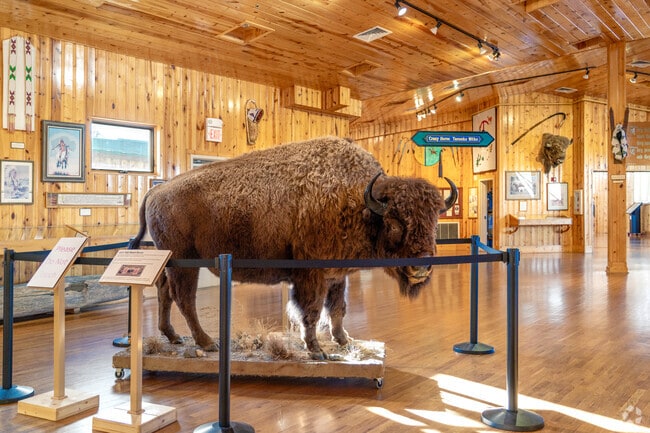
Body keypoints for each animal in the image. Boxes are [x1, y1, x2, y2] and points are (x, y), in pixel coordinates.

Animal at [130, 136, 457, 360]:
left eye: (434, 221)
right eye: (395, 222)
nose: (421, 268)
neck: (358, 200)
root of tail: (157, 191)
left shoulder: (336, 275)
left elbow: (337, 309)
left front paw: (344, 340)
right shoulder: (311, 275)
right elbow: (310, 311)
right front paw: (316, 350)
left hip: (169, 261)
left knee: (164, 292)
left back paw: (173, 337)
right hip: (186, 262)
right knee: (183, 298)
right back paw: (207, 342)